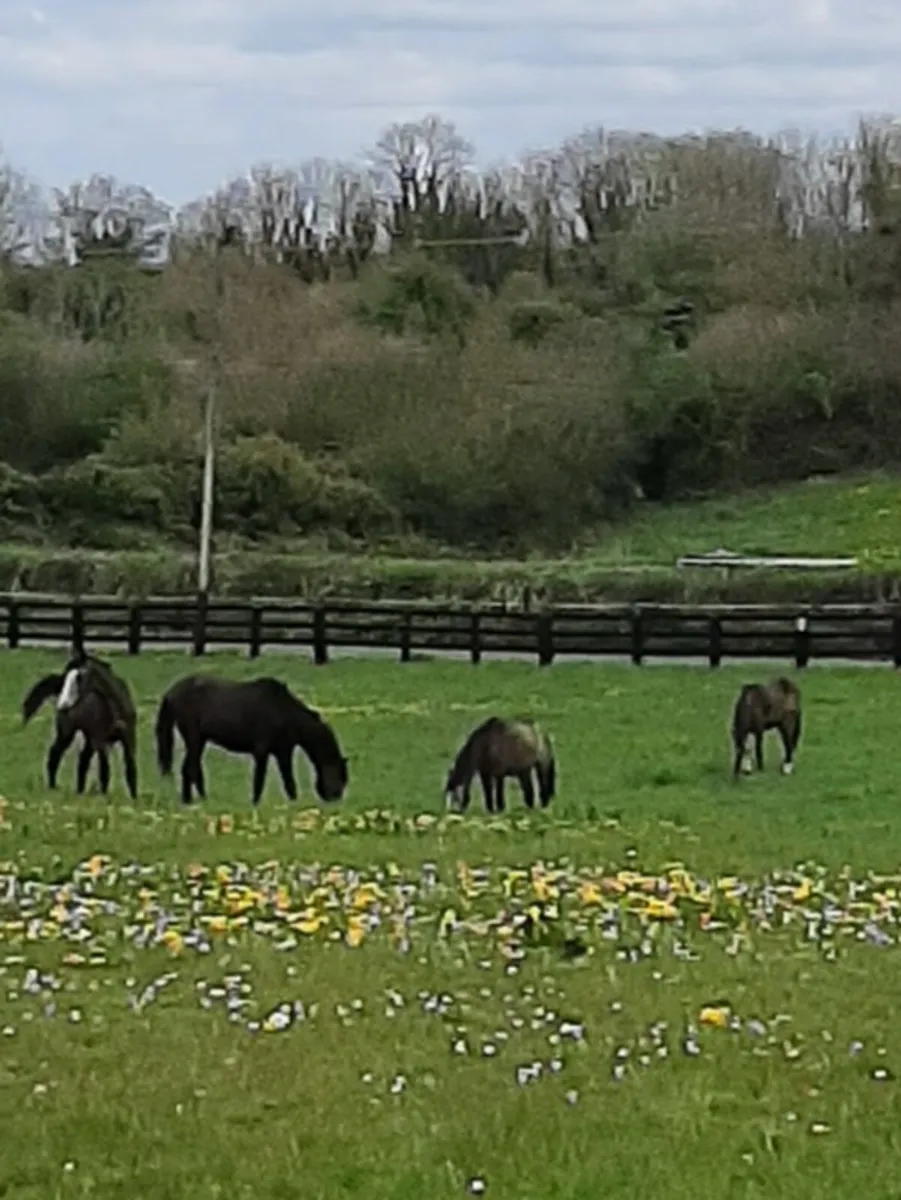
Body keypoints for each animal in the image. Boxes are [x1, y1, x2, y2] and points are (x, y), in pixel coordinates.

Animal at [22, 653, 139, 798]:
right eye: (66, 678)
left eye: (79, 678)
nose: (63, 705)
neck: (115, 709)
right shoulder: (101, 742)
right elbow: (105, 771)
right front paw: (104, 797)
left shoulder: (129, 739)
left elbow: (130, 769)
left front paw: (134, 798)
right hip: (67, 733)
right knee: (56, 753)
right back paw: (53, 787)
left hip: (89, 738)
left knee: (83, 761)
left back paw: (80, 791)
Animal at [154, 674, 349, 807]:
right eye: (339, 775)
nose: (335, 798)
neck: (283, 712)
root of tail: (172, 692)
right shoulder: (262, 752)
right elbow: (259, 780)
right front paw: (255, 803)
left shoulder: (283, 752)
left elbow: (289, 782)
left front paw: (293, 803)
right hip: (194, 739)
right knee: (191, 769)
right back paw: (196, 800)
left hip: (199, 741)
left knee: (190, 769)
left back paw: (194, 800)